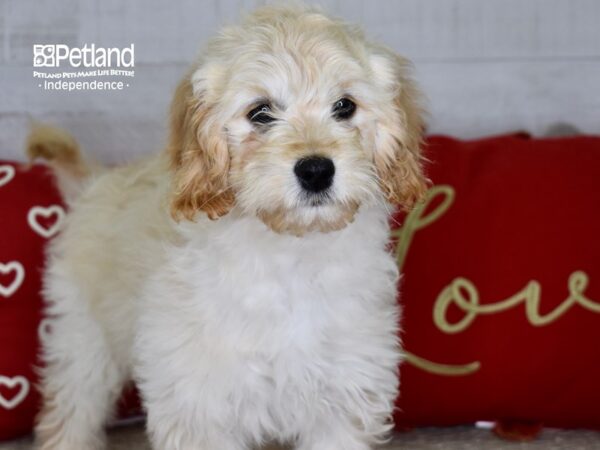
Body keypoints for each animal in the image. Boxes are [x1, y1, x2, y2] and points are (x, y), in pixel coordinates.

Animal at [31, 4, 426, 450]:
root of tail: (97, 182)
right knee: (71, 408)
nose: (316, 170)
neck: (290, 254)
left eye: (345, 106)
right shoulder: (199, 400)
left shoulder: (344, 389)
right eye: (261, 112)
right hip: (84, 335)